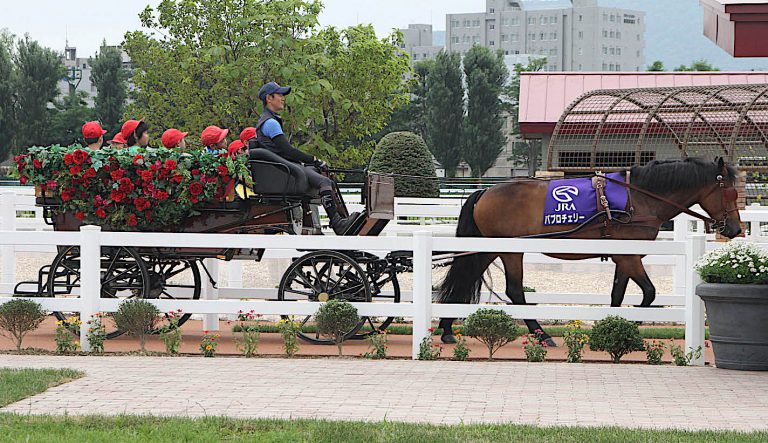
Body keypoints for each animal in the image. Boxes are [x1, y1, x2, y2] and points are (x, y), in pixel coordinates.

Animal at [438, 159, 744, 346]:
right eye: (729, 193)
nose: (734, 228)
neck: (638, 198)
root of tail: (484, 192)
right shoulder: (629, 256)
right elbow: (649, 293)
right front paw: (631, 326)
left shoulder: (624, 257)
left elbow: (618, 294)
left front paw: (612, 327)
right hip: (511, 250)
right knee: (514, 290)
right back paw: (541, 334)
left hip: (489, 249)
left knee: (466, 279)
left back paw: (446, 329)